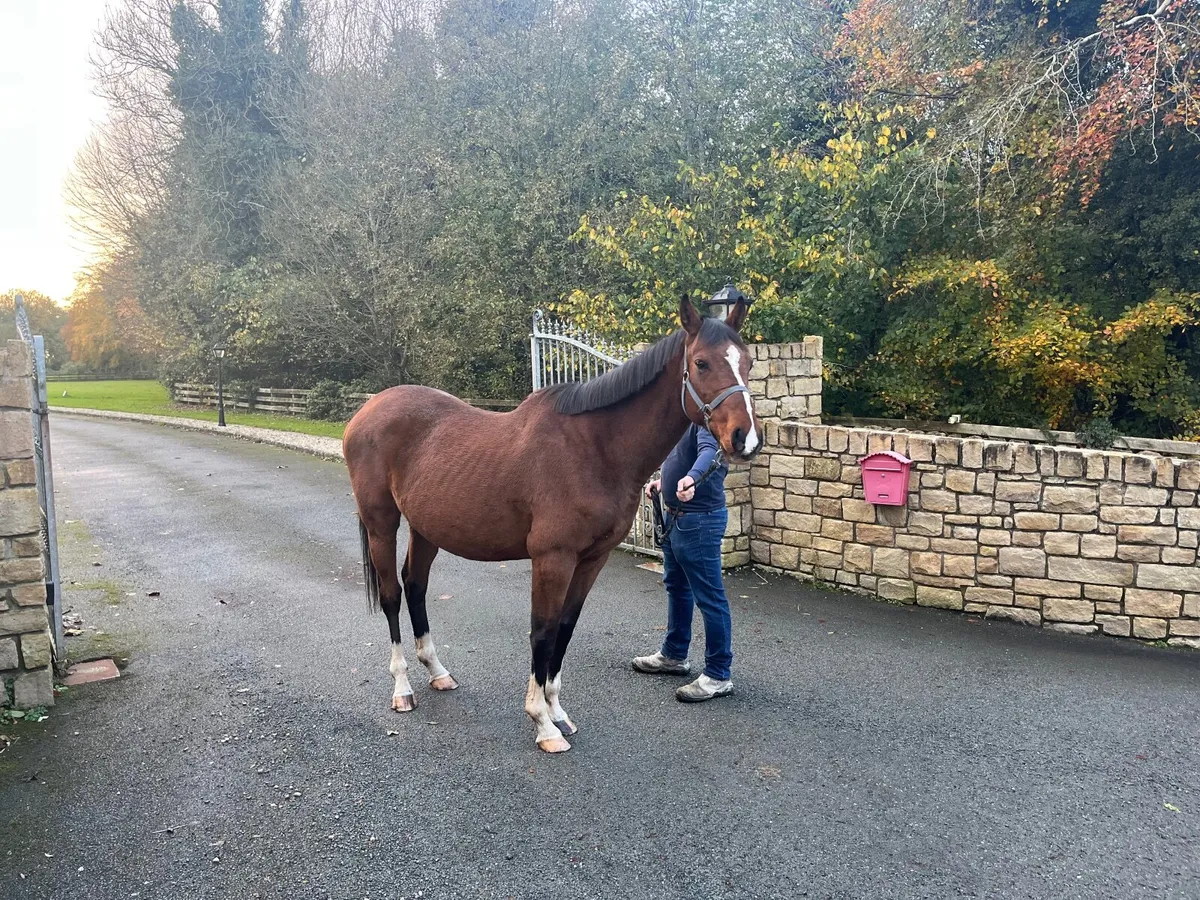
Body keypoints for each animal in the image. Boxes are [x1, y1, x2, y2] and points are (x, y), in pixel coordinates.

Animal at [342, 295, 760, 752]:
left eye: (749, 362)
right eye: (701, 363)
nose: (745, 439)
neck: (595, 449)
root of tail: (368, 408)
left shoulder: (591, 559)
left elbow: (565, 627)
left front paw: (557, 712)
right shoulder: (553, 558)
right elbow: (542, 632)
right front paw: (542, 722)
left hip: (426, 528)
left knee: (416, 586)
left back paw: (438, 672)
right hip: (382, 523)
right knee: (392, 595)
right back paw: (402, 688)